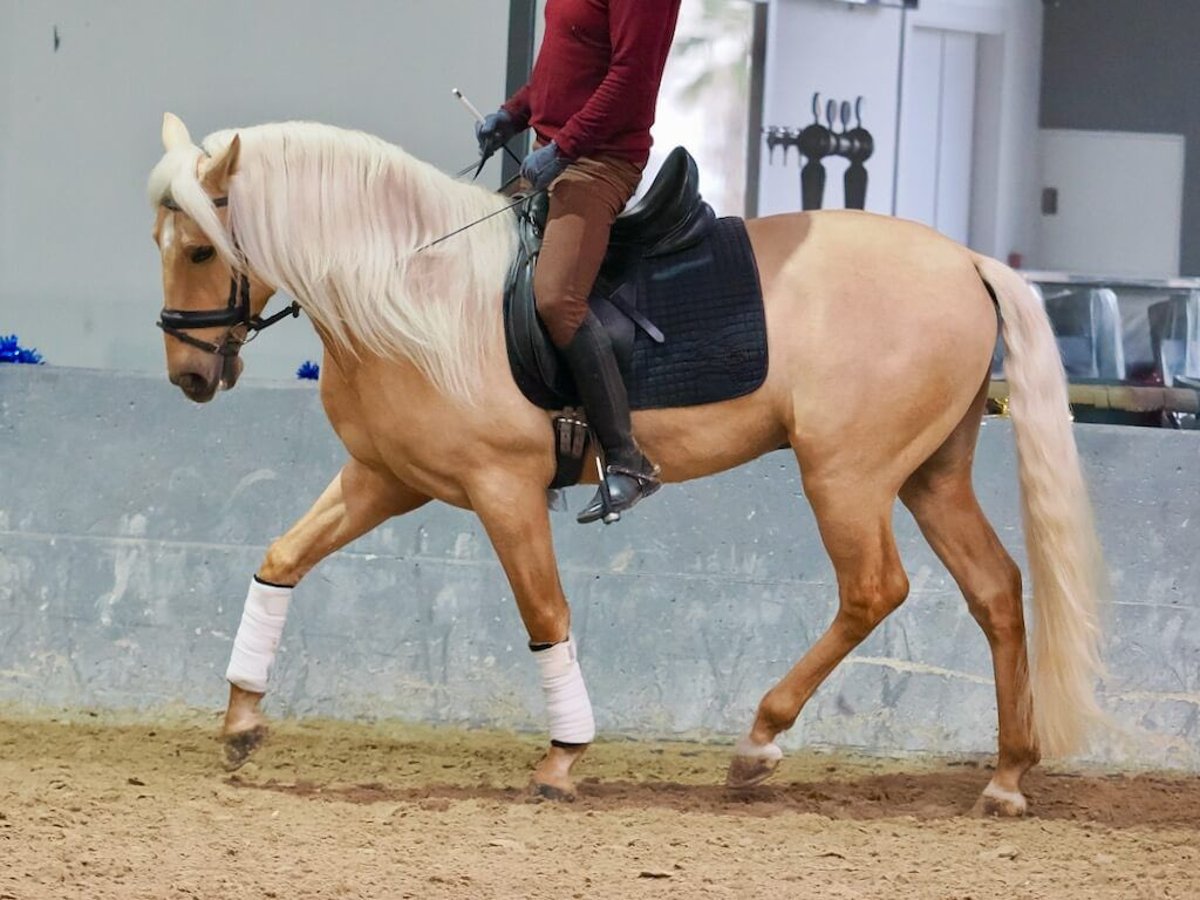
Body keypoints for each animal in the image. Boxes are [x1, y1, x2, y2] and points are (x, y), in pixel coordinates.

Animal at [147, 112, 1104, 816]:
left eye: (200, 248)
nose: (188, 377)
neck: (413, 289)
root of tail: (966, 260)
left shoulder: (501, 489)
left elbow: (545, 613)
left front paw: (563, 758)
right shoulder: (386, 480)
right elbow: (281, 559)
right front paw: (241, 720)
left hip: (849, 473)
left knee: (875, 590)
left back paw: (758, 744)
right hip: (928, 473)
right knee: (995, 589)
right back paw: (1007, 778)